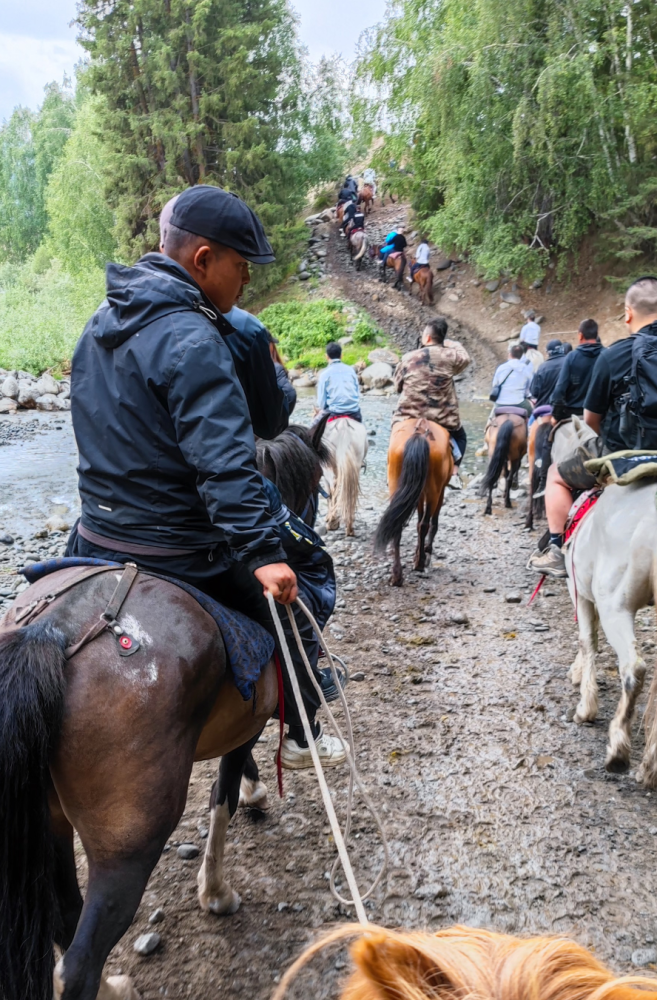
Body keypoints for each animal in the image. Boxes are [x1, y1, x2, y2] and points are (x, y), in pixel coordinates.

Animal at [374, 416, 452, 584]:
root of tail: (420, 432)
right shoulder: (441, 491)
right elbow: (431, 523)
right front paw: (425, 552)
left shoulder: (417, 493)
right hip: (434, 491)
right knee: (425, 524)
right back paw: (420, 563)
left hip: (397, 485)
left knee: (398, 524)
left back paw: (397, 575)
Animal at [564, 482, 656, 780]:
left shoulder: (579, 591)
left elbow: (587, 639)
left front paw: (585, 708)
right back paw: (648, 768)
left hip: (614, 606)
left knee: (633, 668)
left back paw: (618, 752)